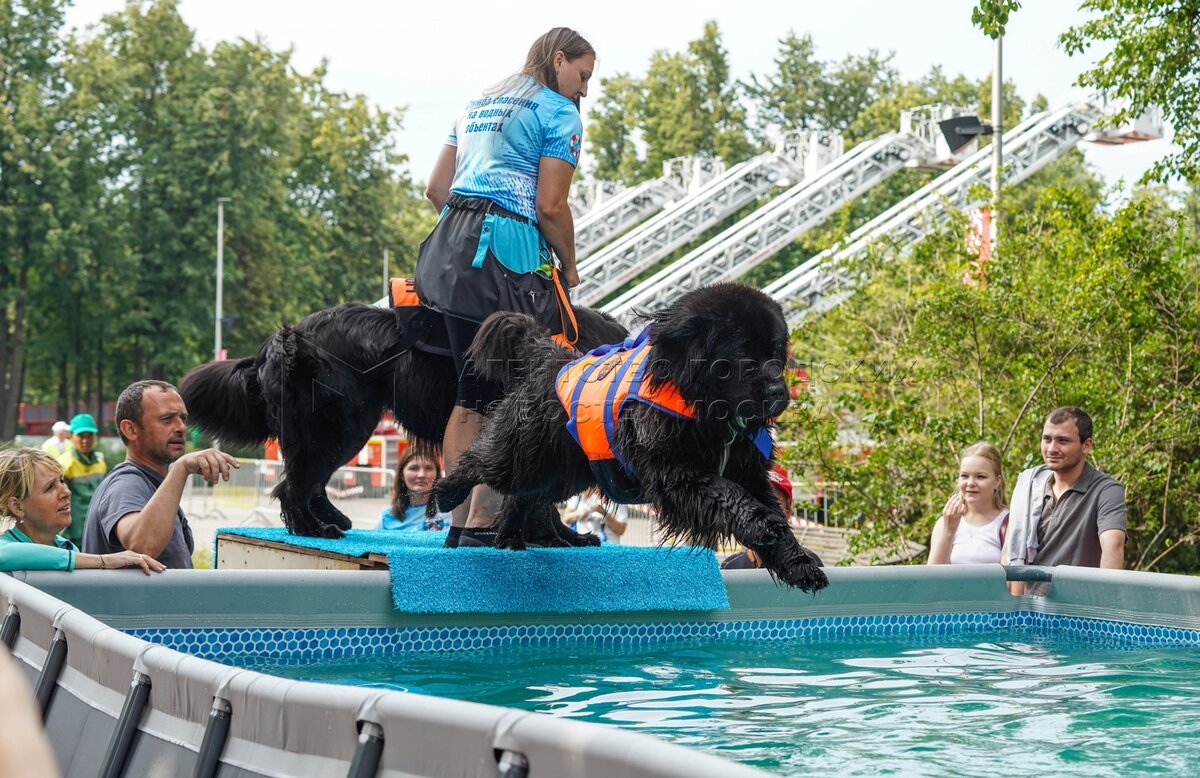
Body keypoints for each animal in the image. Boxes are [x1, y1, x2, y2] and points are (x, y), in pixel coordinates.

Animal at [179, 296, 627, 539]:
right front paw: (553, 537)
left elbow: (540, 502)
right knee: (293, 486)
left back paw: (332, 522)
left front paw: (556, 537)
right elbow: (538, 501)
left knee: (309, 483)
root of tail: (283, 338)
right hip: (339, 426)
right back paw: (314, 530)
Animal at [431, 283, 829, 592]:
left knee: (529, 496)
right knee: (486, 463)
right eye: (744, 354)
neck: (706, 406)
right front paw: (762, 523)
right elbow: (728, 493)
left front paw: (799, 563)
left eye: (776, 353)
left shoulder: (748, 469)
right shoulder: (674, 472)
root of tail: (552, 359)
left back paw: (517, 537)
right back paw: (446, 493)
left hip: (567, 470)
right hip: (528, 452)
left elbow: (762, 502)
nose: (778, 392)